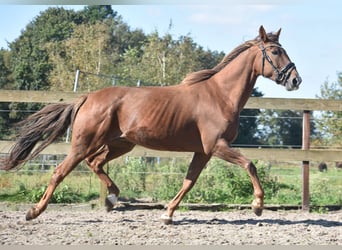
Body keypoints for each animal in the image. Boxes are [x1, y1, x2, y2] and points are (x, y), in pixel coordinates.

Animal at [0, 25, 300, 225]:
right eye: (275, 51)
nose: (295, 80)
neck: (220, 95)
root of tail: (87, 97)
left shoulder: (203, 151)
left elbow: (189, 181)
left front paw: (167, 214)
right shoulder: (217, 146)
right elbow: (250, 165)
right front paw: (258, 206)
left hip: (120, 144)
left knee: (95, 163)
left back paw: (112, 199)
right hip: (85, 143)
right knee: (60, 172)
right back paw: (33, 212)